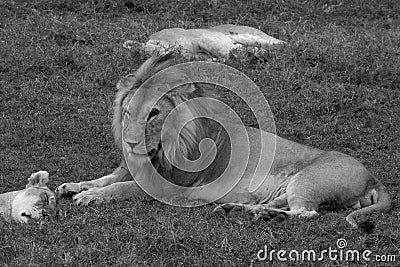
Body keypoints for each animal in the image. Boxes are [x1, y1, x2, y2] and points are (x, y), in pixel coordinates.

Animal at [56, 54, 390, 228]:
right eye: (127, 112)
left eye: (154, 113)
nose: (130, 144)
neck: (163, 150)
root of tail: (373, 178)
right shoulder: (131, 168)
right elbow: (105, 178)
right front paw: (73, 186)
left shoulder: (168, 188)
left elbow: (121, 188)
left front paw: (90, 197)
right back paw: (241, 209)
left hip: (307, 181)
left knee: (305, 212)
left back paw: (264, 214)